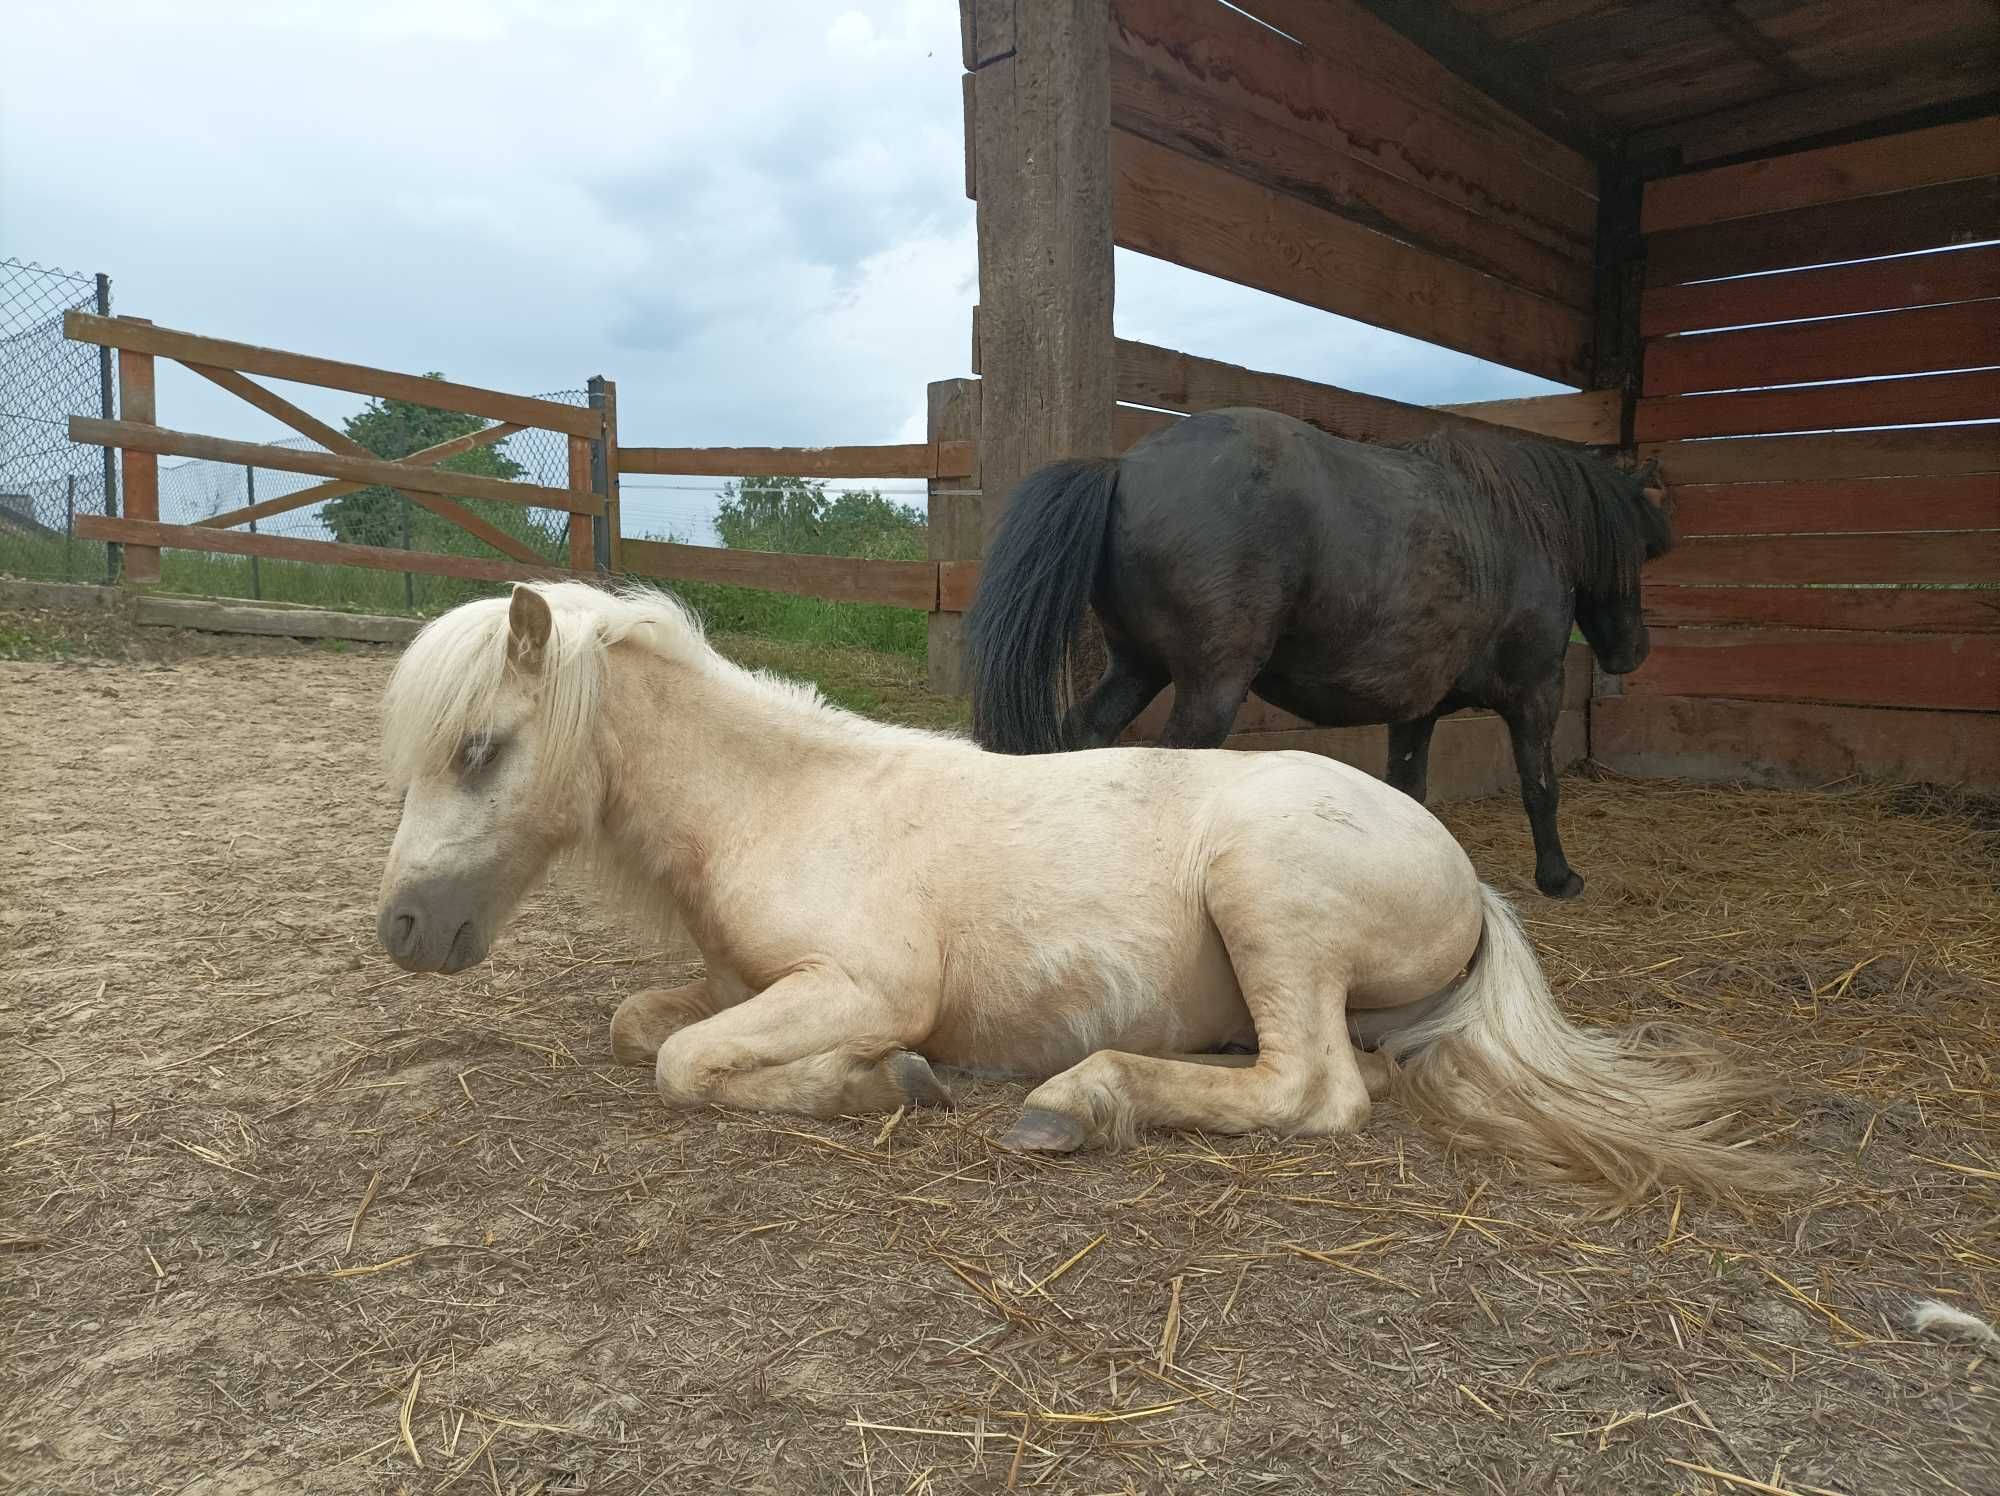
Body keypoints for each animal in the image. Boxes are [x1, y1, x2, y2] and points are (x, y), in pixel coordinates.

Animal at [964, 404, 1672, 900]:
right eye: (1638, 553)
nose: (1632, 654)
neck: (1515, 531)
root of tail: (1124, 468)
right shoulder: (1536, 693)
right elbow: (1540, 787)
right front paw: (1559, 878)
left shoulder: (1416, 708)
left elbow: (1409, 791)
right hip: (1207, 689)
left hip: (1138, 668)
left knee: (1085, 734)